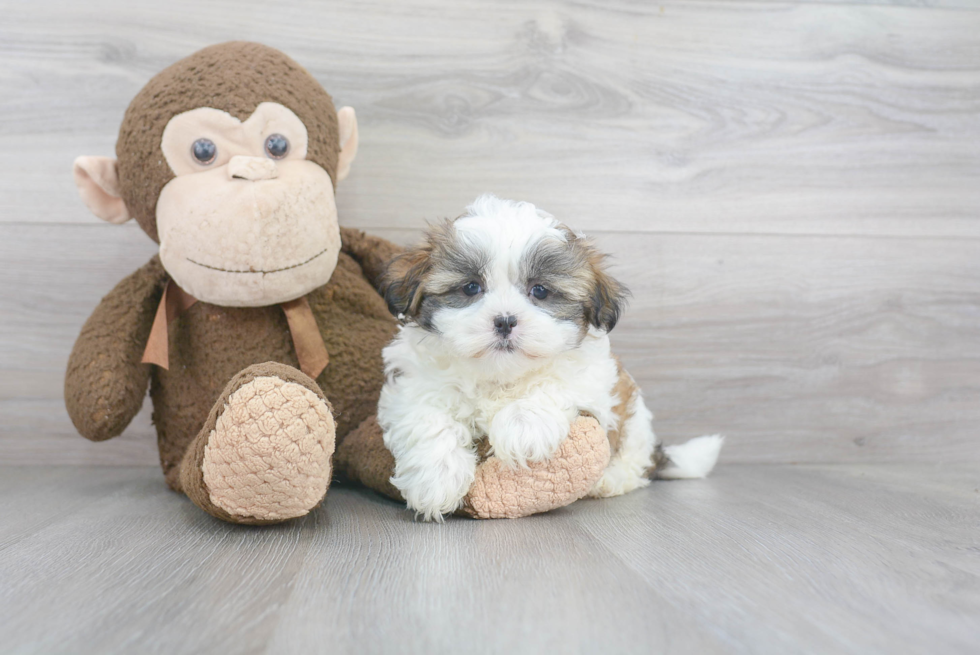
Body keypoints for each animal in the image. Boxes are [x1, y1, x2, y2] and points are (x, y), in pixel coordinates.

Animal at [378, 195, 724, 524]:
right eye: (471, 287)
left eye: (540, 291)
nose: (505, 321)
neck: (499, 377)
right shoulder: (414, 387)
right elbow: (428, 419)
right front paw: (435, 480)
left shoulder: (593, 378)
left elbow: (556, 384)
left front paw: (522, 425)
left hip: (634, 430)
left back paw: (609, 480)